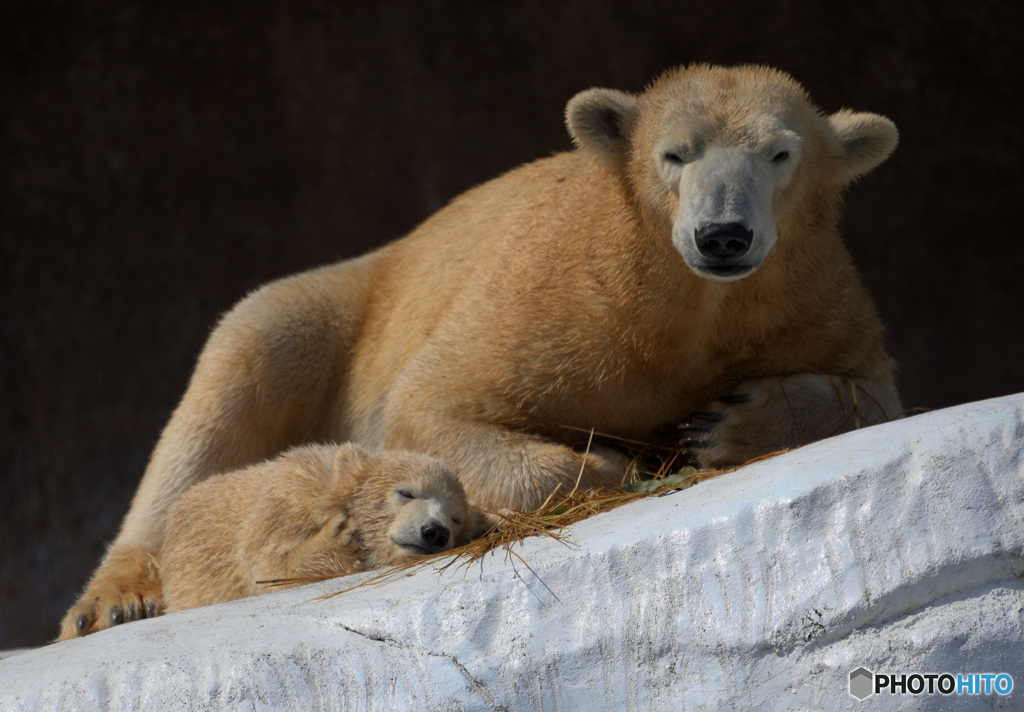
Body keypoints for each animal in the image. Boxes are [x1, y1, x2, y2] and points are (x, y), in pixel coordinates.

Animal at [161, 442, 473, 610]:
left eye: (456, 519)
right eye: (406, 493)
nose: (435, 532)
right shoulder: (288, 499)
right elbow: (268, 568)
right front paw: (341, 540)